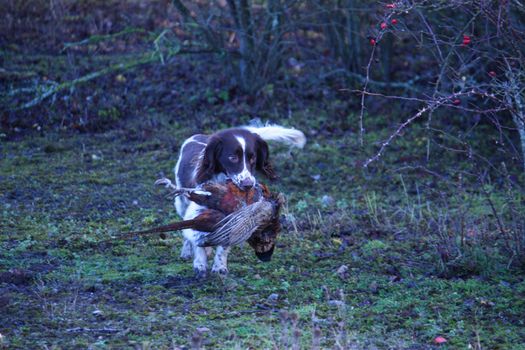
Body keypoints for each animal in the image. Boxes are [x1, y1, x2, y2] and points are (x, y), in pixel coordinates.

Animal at [173, 124, 302, 278]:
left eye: (253, 158)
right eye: (232, 157)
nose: (248, 185)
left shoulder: (233, 217)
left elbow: (223, 244)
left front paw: (219, 266)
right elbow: (194, 234)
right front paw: (200, 264)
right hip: (181, 203)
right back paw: (187, 251)